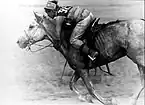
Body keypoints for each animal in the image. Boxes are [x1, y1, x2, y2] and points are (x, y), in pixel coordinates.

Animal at [16, 12, 144, 104]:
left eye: (31, 26)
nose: (19, 41)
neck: (66, 38)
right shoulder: (79, 68)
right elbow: (71, 84)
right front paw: (85, 98)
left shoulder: (82, 69)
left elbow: (90, 89)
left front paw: (108, 101)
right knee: (142, 83)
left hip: (139, 59)